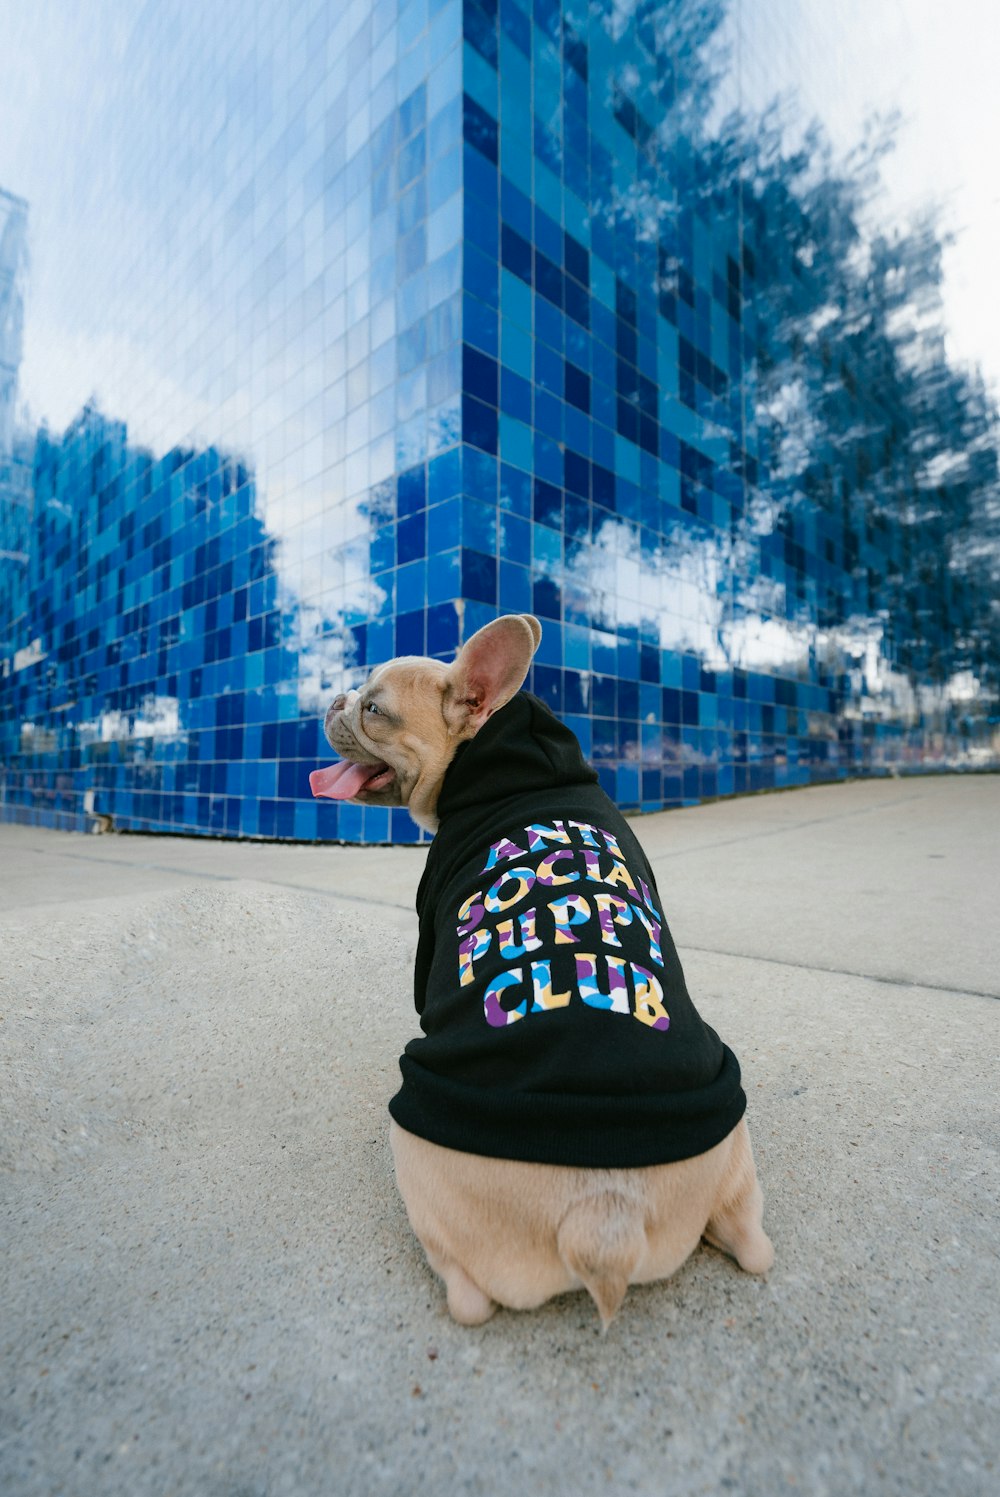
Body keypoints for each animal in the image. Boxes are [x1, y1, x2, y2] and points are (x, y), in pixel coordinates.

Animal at [312, 613, 772, 1329]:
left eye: (374, 710)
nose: (334, 700)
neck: (494, 759)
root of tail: (602, 1221)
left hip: (418, 1147)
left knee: (468, 1295)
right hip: (733, 1151)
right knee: (752, 1244)